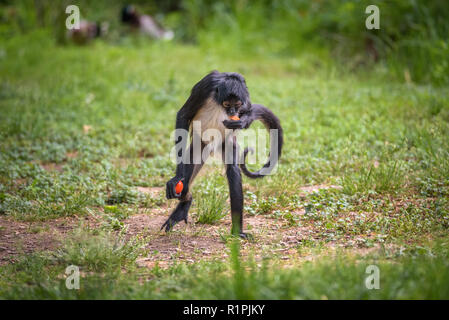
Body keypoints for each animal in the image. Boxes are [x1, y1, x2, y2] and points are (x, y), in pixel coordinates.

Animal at [161, 70, 282, 240]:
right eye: (226, 105)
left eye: (237, 106)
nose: (232, 112)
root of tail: (213, 143)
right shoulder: (206, 86)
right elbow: (183, 115)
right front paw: (178, 176)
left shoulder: (244, 93)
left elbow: (248, 111)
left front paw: (241, 122)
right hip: (200, 141)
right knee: (190, 161)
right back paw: (186, 201)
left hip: (226, 141)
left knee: (233, 171)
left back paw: (237, 231)